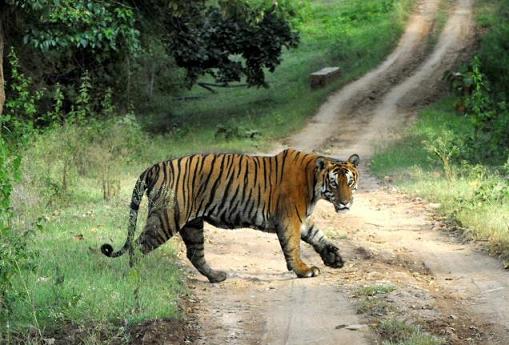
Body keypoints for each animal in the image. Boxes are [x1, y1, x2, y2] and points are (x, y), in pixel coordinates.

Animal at [101, 148, 360, 282]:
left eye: (349, 182)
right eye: (334, 183)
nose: (345, 203)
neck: (314, 183)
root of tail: (155, 166)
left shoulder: (301, 219)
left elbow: (317, 235)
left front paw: (334, 258)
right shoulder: (289, 219)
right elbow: (293, 246)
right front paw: (303, 270)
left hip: (192, 224)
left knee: (194, 254)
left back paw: (216, 276)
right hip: (167, 217)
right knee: (139, 246)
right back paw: (135, 276)